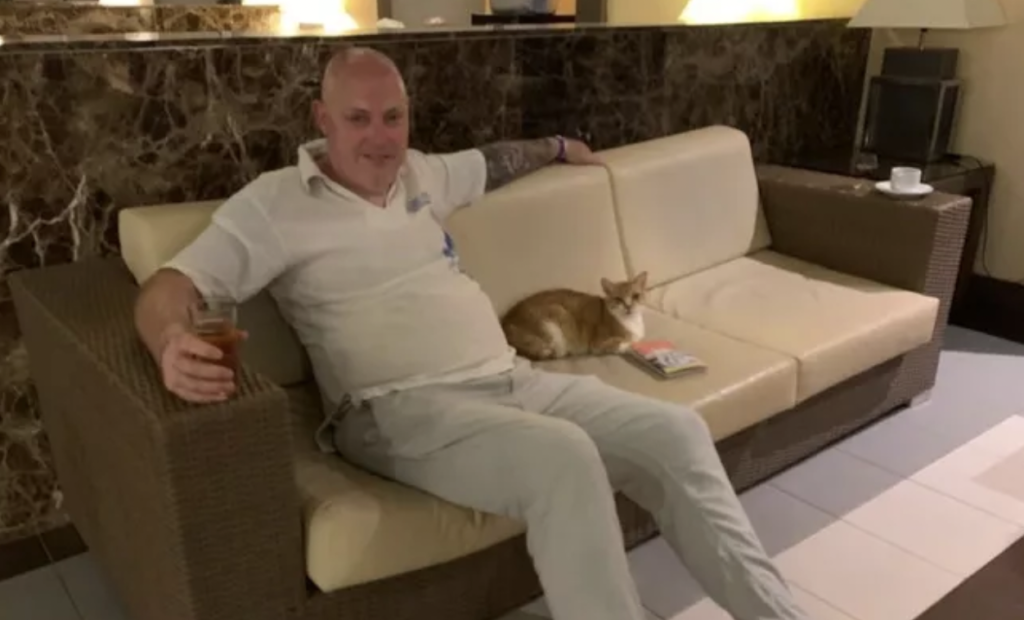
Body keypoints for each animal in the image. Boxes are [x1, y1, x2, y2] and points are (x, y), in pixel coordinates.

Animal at [500, 271, 649, 361]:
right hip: (556, 320)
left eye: (635, 296)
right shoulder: (598, 344)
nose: (628, 306)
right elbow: (626, 342)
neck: (631, 322)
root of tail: (505, 323)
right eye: (618, 299)